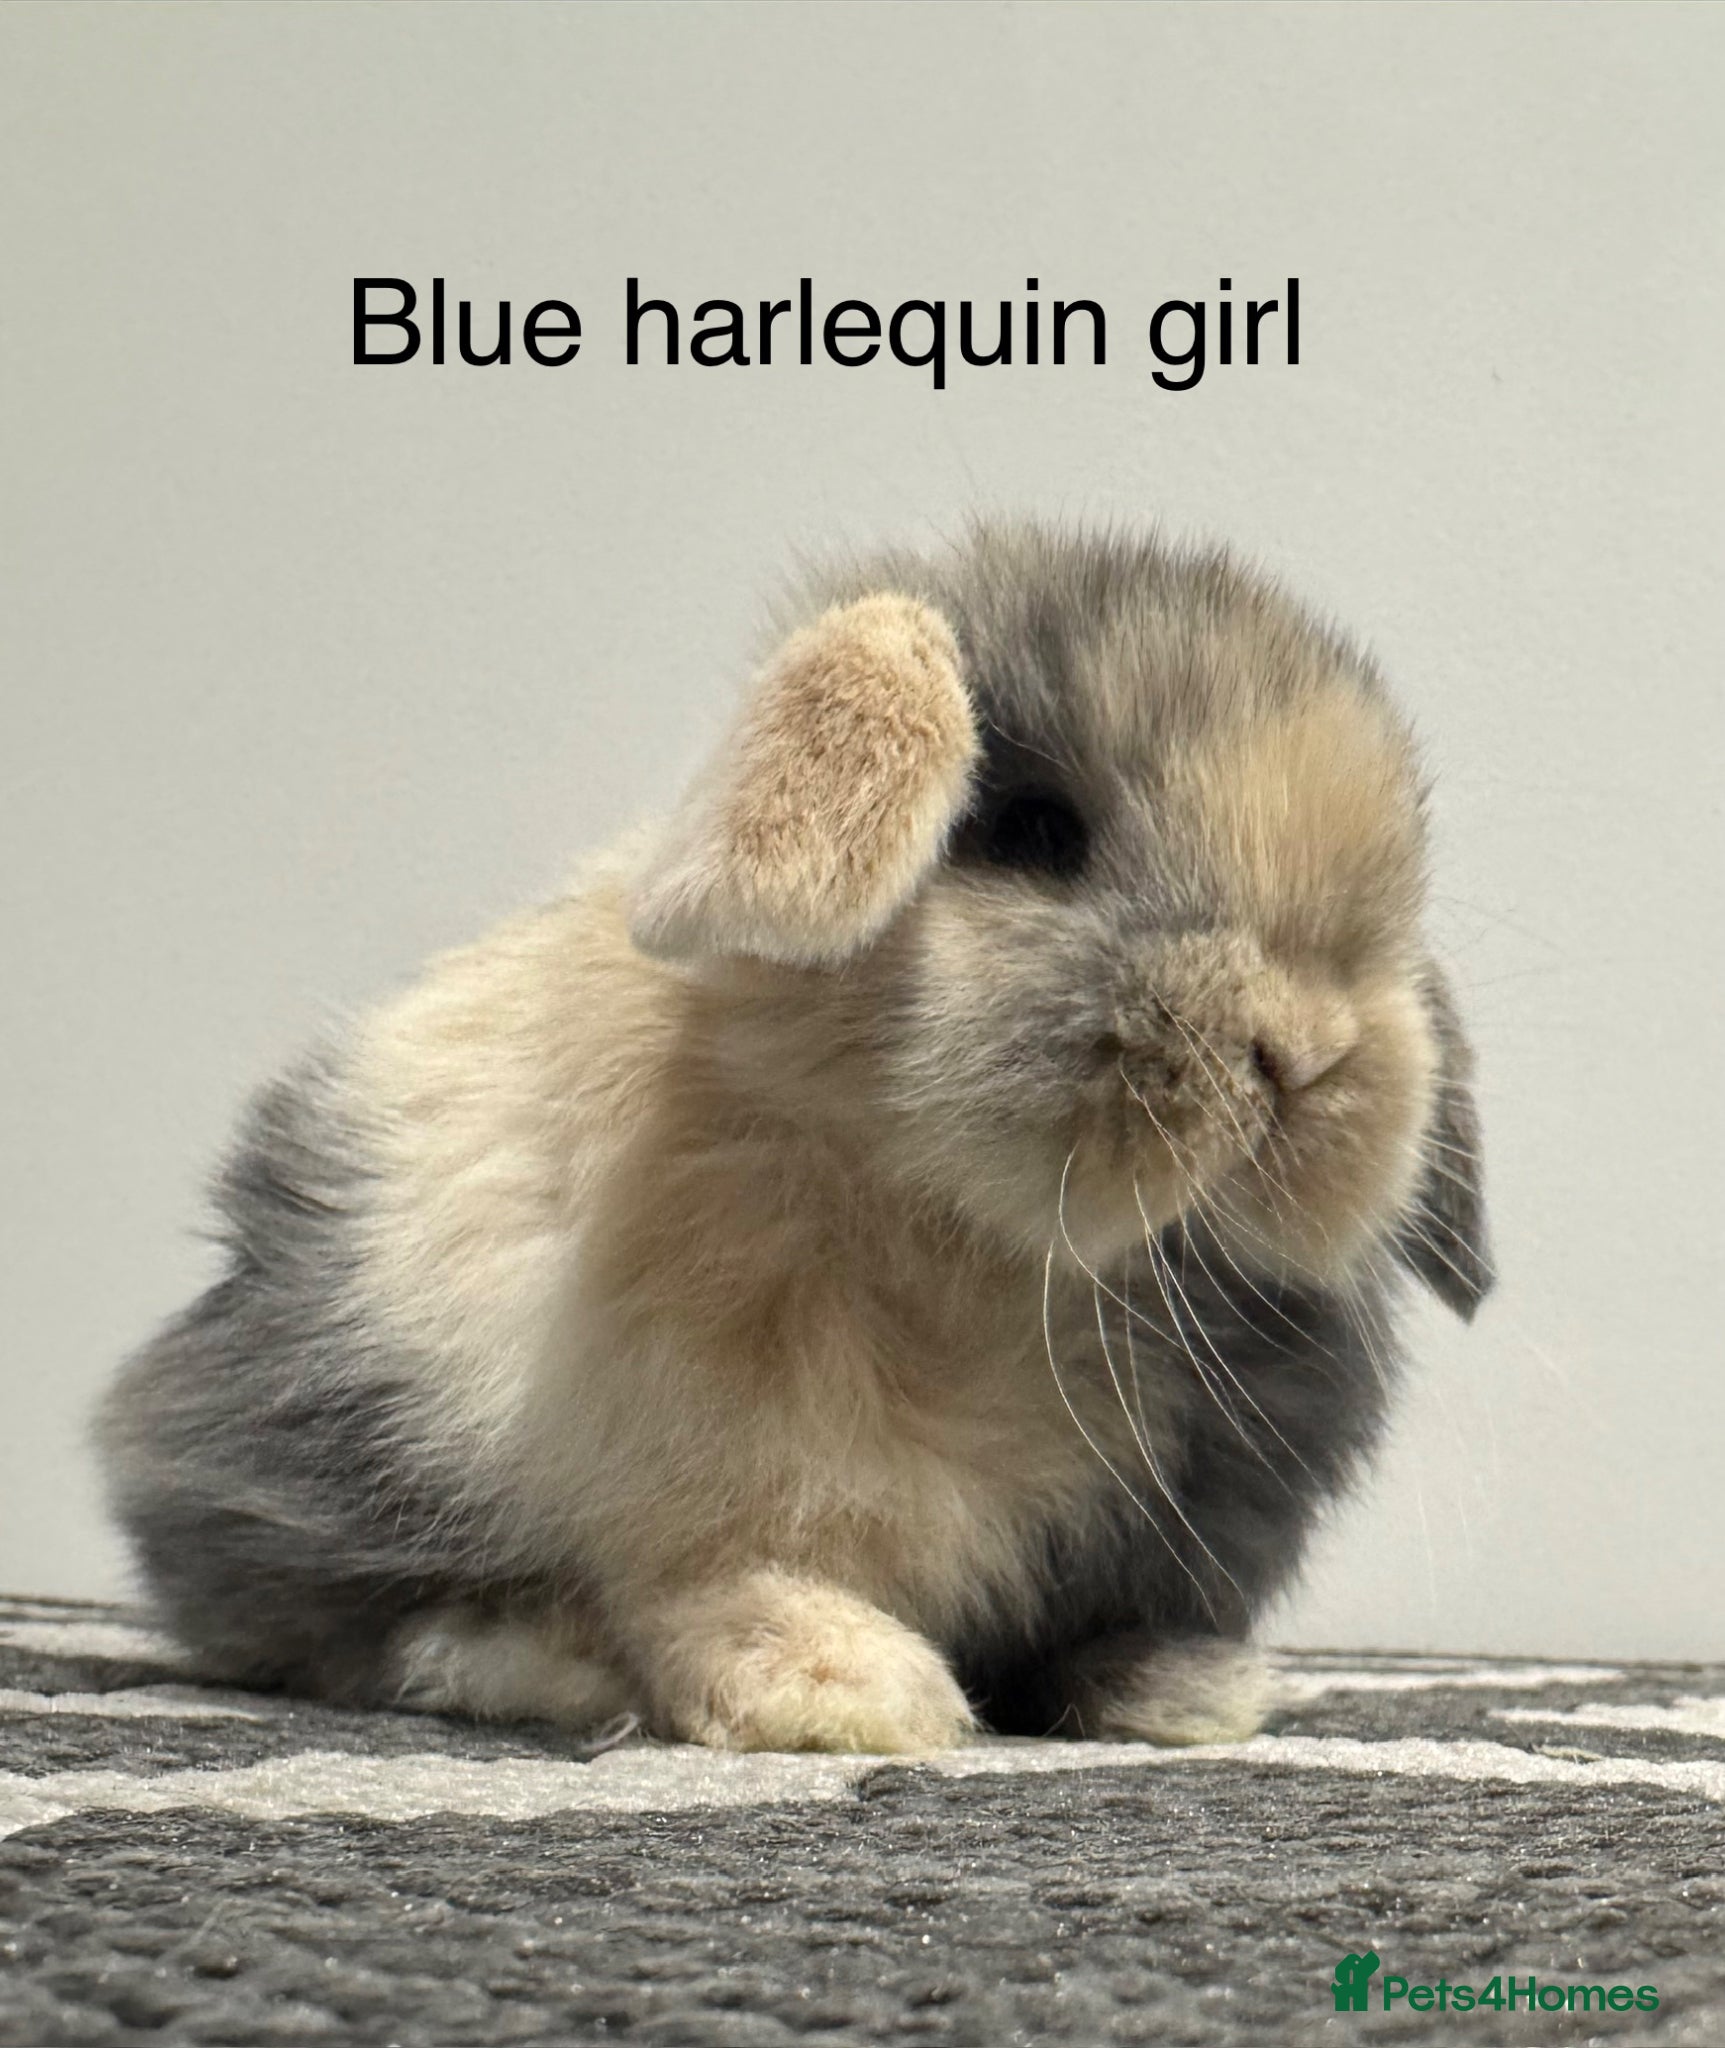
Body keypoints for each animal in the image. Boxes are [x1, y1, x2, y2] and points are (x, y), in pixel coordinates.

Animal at [95, 520, 1491, 1754]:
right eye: (1037, 831)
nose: (1306, 1049)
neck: (980, 1238)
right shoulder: (700, 1468)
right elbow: (715, 1579)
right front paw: (845, 1688)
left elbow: (1091, 1631)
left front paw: (1185, 1687)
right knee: (341, 1615)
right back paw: (543, 1657)